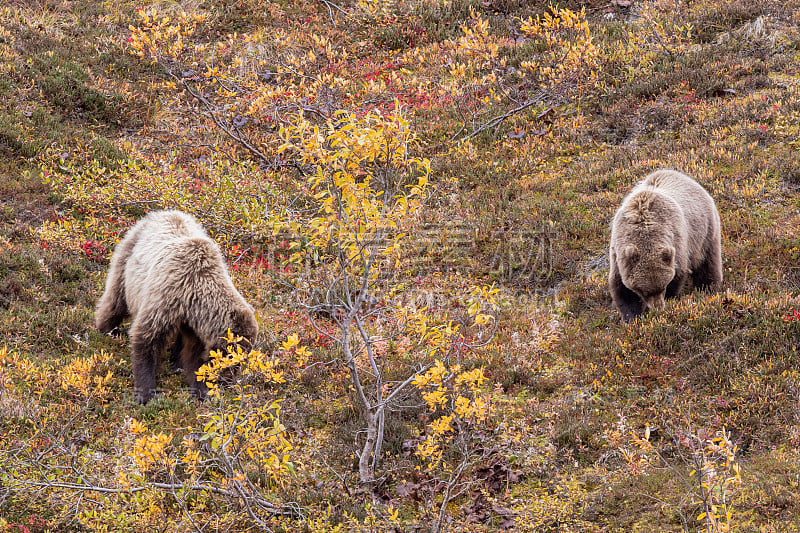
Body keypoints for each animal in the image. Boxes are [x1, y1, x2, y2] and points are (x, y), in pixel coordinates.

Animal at [95, 210, 260, 402]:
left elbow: (194, 355)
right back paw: (106, 329)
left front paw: (202, 390)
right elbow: (146, 338)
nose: (229, 381)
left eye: (242, 358)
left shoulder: (195, 324)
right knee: (116, 298)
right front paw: (146, 393)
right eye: (233, 357)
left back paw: (176, 362)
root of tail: (159, 212)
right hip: (129, 260)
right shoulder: (168, 296)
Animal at [608, 168, 720, 322]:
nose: (658, 308)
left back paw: (708, 289)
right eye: (644, 291)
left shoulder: (677, 245)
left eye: (663, 286)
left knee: (707, 263)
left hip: (705, 232)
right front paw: (632, 317)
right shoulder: (619, 253)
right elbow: (622, 288)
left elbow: (678, 274)